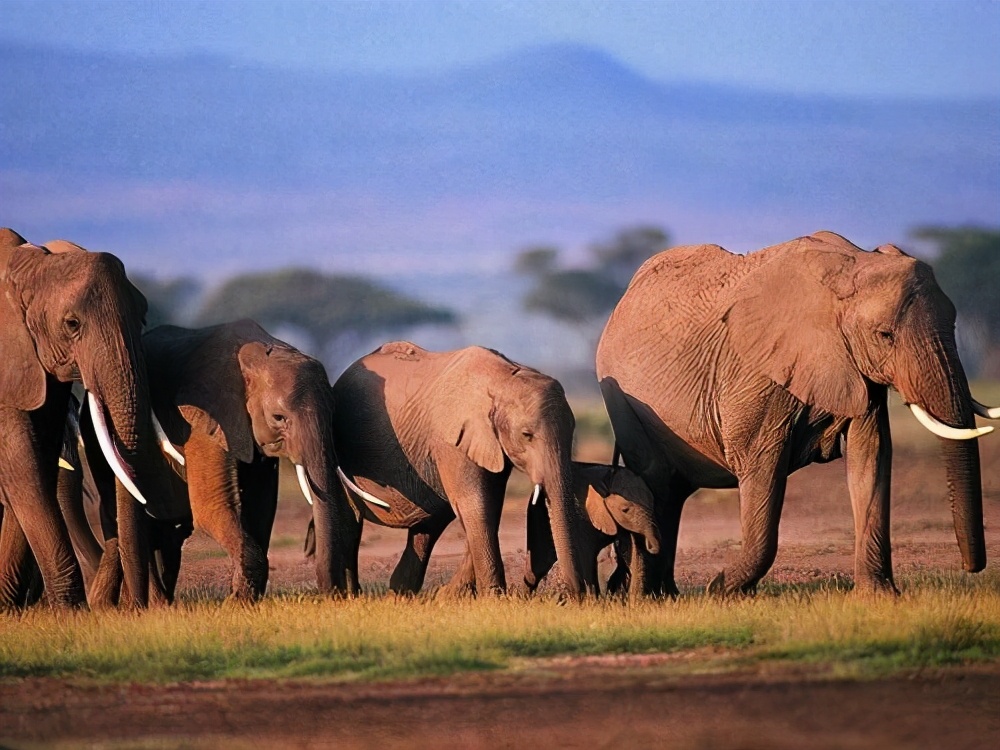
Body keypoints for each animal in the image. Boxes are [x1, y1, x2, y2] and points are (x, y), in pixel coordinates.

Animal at [0, 229, 182, 612]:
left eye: (143, 317)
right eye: (72, 324)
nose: (136, 608)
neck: (27, 265)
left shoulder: (37, 364)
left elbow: (38, 460)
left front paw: (9, 606)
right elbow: (21, 464)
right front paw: (69, 611)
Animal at [88, 320, 358, 608]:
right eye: (278, 417)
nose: (336, 595)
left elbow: (261, 506)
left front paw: (242, 598)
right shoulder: (204, 420)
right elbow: (213, 507)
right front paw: (236, 603)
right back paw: (140, 606)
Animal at [324, 342, 588, 600]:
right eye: (527, 435)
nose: (572, 597)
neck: (503, 379)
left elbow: (490, 506)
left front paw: (451, 596)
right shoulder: (452, 442)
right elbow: (476, 505)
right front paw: (494, 599)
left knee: (428, 527)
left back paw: (400, 595)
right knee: (351, 519)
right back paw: (353, 595)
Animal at [524, 458, 664, 600]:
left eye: (653, 504)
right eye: (625, 510)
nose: (653, 546)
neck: (606, 482)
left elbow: (633, 551)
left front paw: (634, 600)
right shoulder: (581, 514)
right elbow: (586, 553)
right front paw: (592, 601)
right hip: (539, 513)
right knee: (540, 563)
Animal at [596, 229, 996, 600]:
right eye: (885, 335)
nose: (971, 567)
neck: (854, 266)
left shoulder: (855, 369)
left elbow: (871, 457)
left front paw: (880, 596)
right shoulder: (756, 372)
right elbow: (762, 465)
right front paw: (722, 591)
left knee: (672, 494)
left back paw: (666, 595)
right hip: (624, 403)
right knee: (655, 482)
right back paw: (649, 597)